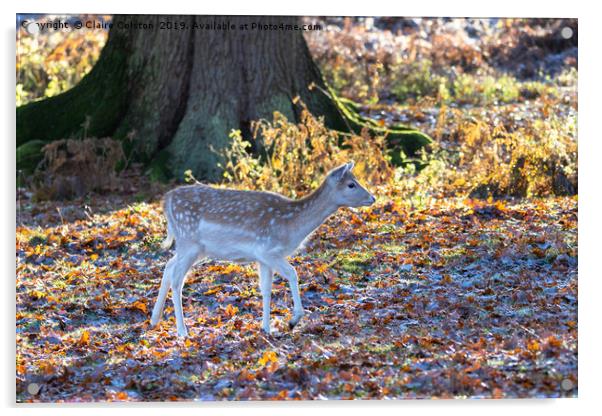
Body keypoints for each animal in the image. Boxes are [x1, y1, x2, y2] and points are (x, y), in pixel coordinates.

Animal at [150, 161, 376, 336]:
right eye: (351, 184)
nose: (372, 198)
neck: (291, 226)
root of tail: (166, 201)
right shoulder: (267, 250)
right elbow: (293, 273)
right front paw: (293, 320)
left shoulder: (263, 258)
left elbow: (266, 289)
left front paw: (266, 328)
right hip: (189, 241)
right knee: (177, 279)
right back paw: (182, 330)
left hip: (193, 247)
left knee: (168, 266)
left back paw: (154, 319)